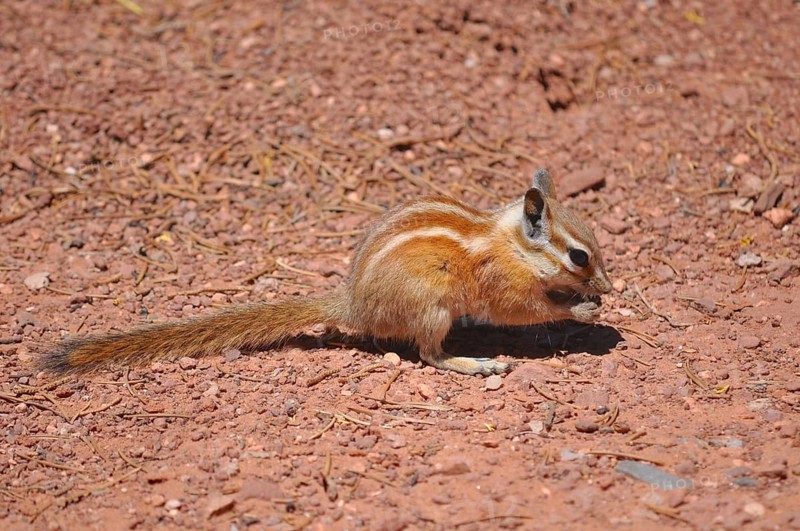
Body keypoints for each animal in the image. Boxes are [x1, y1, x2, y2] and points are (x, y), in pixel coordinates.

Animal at [38, 168, 612, 377]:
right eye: (580, 256)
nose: (608, 285)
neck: (511, 242)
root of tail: (354, 306)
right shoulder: (502, 283)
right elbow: (526, 309)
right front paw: (581, 308)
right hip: (432, 307)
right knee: (430, 355)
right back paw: (475, 363)